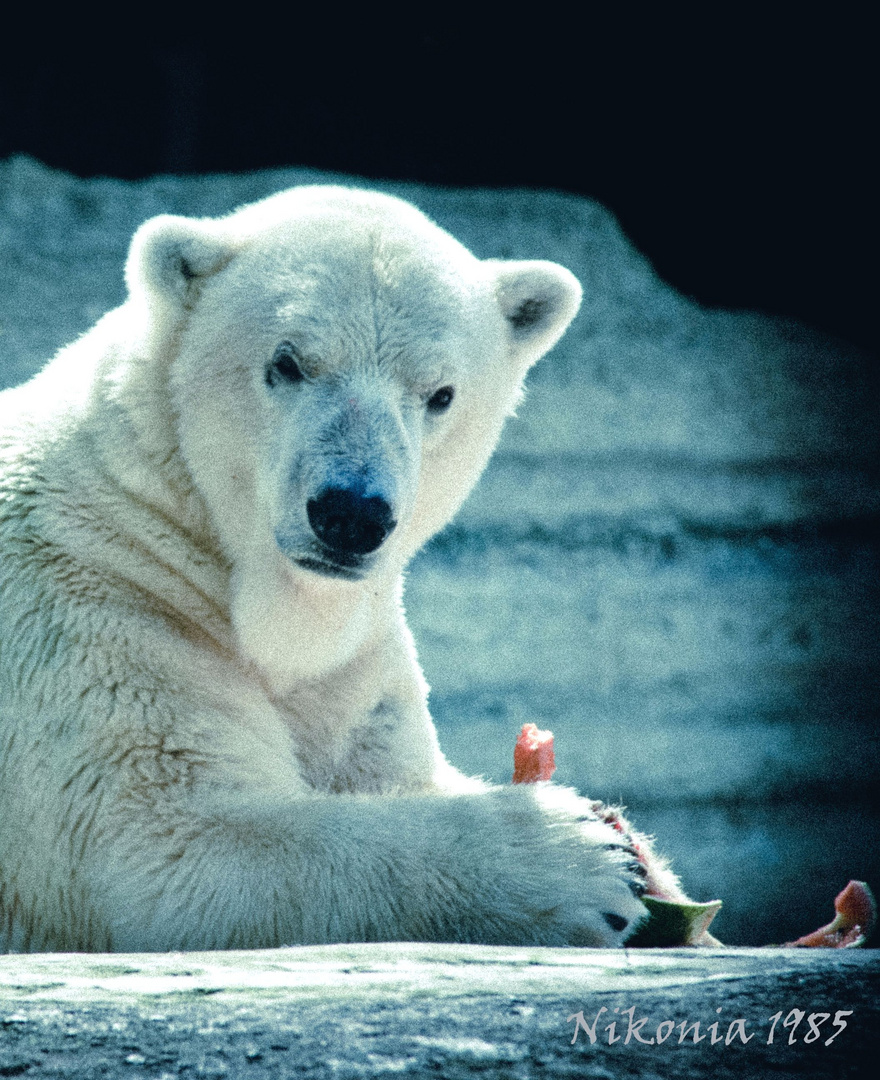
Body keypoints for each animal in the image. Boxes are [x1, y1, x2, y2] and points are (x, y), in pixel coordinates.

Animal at [0, 187, 647, 954]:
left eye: (441, 393)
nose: (351, 512)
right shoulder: (92, 608)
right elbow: (160, 847)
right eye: (287, 362)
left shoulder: (356, 668)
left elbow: (396, 764)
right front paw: (583, 860)